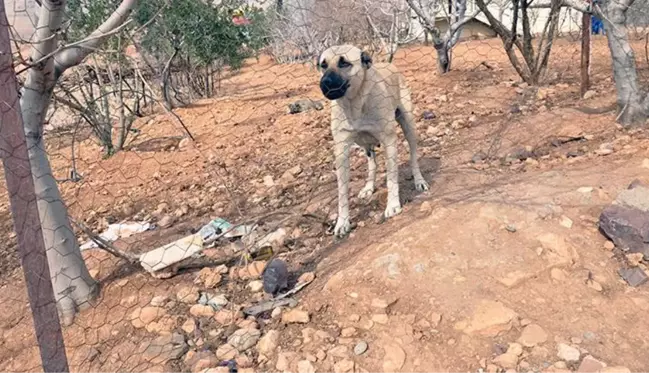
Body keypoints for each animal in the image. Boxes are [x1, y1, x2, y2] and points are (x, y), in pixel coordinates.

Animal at [316, 43, 428, 235]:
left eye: (344, 63)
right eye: (323, 65)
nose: (324, 83)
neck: (354, 105)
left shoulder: (389, 142)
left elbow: (391, 179)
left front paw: (392, 205)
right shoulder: (341, 152)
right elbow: (342, 192)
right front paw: (342, 222)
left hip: (409, 127)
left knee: (413, 156)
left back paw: (419, 180)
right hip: (365, 145)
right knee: (372, 164)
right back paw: (369, 187)